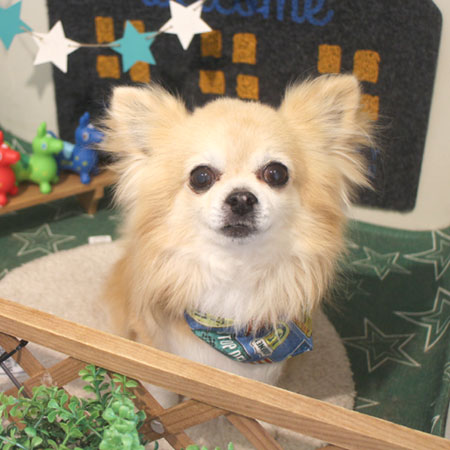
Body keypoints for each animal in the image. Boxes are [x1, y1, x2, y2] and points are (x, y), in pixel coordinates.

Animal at [101, 75, 371, 397]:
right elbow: (159, 395)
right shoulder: (153, 348)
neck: (236, 269)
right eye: (200, 177)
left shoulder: (264, 372)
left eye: (276, 173)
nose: (241, 198)